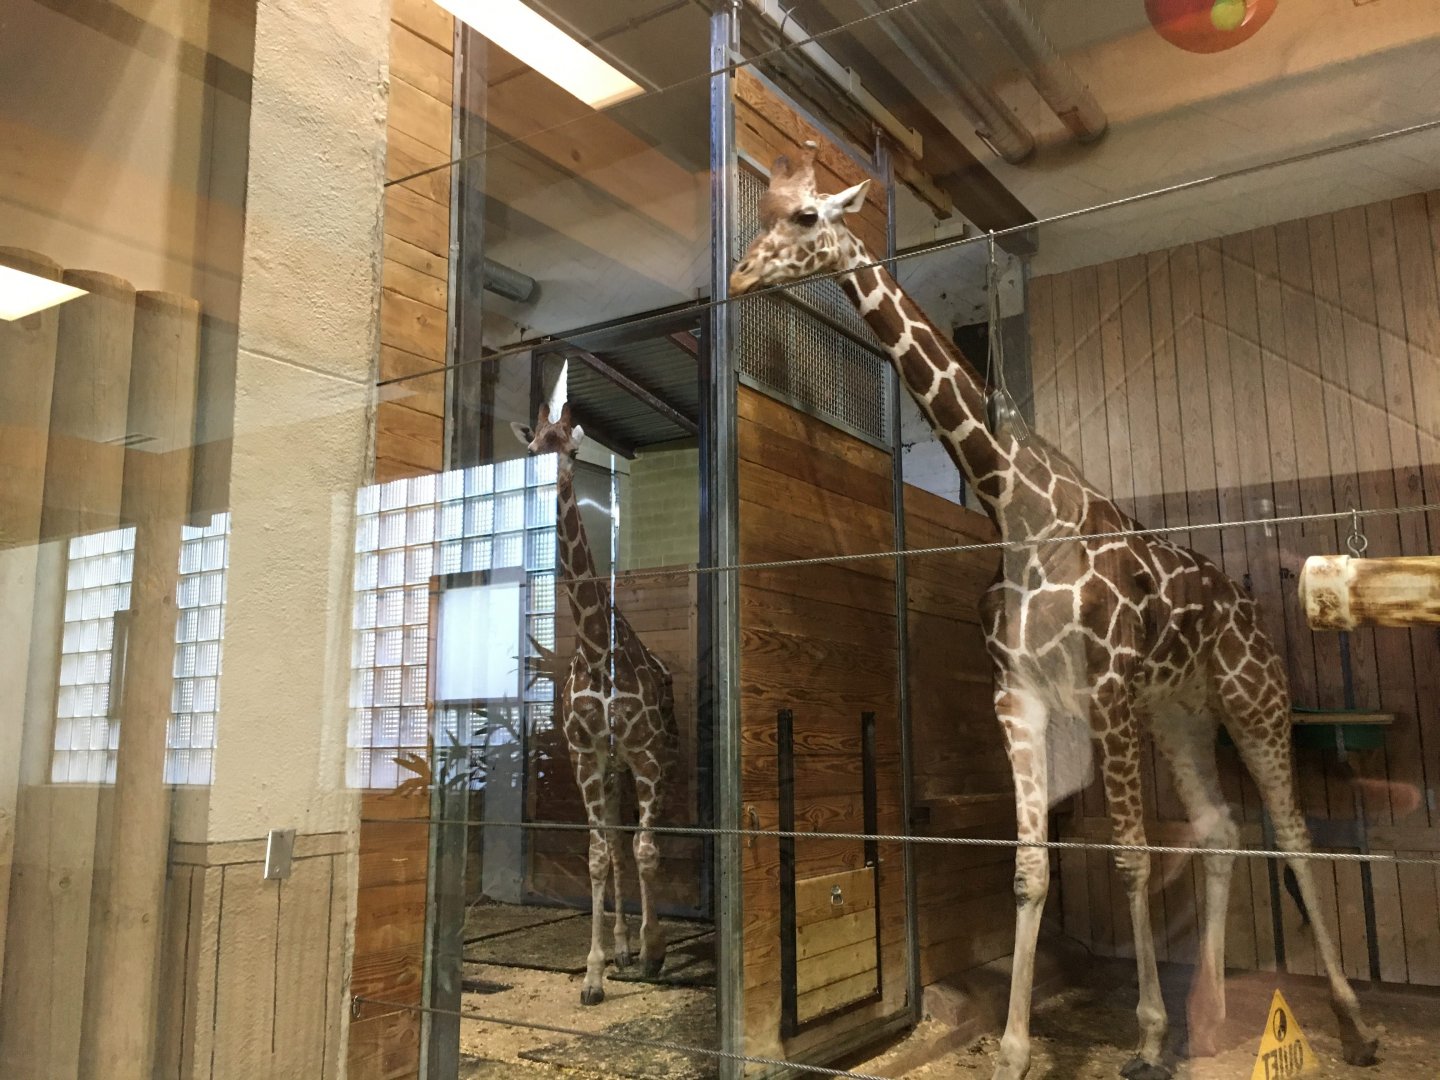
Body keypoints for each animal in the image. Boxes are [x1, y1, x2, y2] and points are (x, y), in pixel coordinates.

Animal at [511, 402, 678, 1005]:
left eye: (570, 445)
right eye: (532, 443)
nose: (546, 475)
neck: (593, 646)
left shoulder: (646, 755)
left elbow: (647, 850)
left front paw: (655, 952)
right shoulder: (586, 755)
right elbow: (599, 856)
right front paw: (594, 972)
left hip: (648, 758)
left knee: (637, 840)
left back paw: (641, 949)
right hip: (610, 767)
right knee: (615, 837)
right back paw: (623, 948)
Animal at [730, 145, 1379, 1080]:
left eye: (808, 215)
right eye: (766, 211)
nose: (741, 273)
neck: (1019, 509)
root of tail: (1251, 612)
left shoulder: (1105, 689)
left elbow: (1132, 857)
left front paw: (1144, 1036)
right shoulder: (1021, 694)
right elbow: (1031, 868)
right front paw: (1012, 1049)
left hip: (1253, 700)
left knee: (1290, 832)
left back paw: (1353, 1023)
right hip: (1180, 712)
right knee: (1220, 826)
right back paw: (1215, 1011)